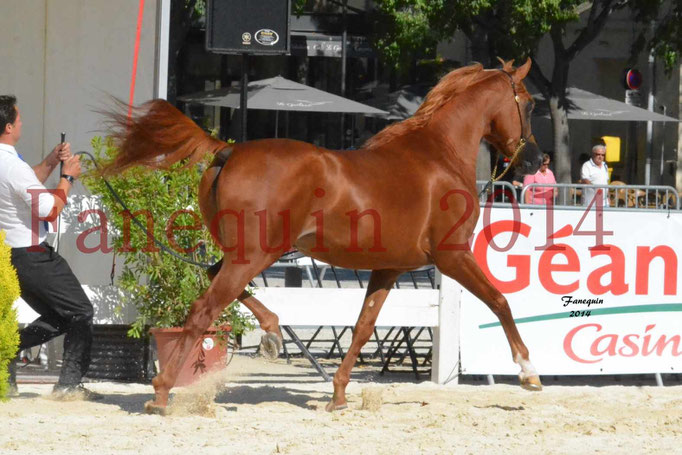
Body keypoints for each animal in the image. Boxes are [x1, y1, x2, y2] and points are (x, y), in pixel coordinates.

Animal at [102, 58, 540, 416]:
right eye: (528, 102)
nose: (536, 160)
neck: (437, 155)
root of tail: (230, 150)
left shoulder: (388, 268)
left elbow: (363, 327)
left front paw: (339, 396)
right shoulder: (452, 256)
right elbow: (500, 301)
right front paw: (528, 372)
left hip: (245, 253)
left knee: (214, 278)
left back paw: (272, 333)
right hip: (255, 256)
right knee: (203, 310)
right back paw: (162, 393)